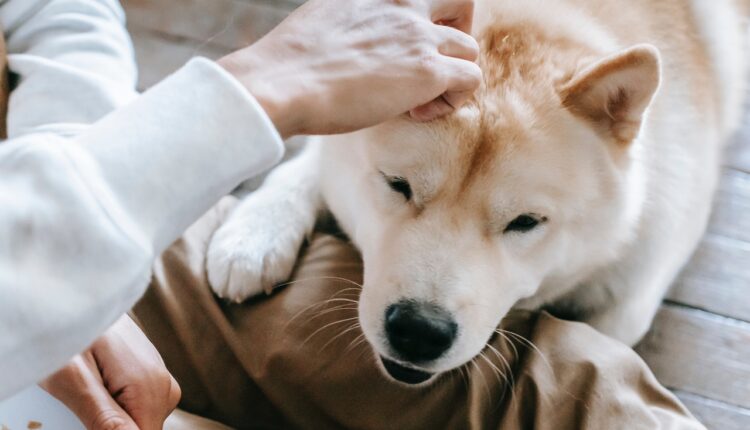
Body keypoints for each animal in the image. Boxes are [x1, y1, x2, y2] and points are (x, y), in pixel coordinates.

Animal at [207, 0, 750, 382]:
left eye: (526, 223)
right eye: (397, 185)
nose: (419, 331)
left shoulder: (632, 292)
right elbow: (308, 164)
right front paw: (255, 232)